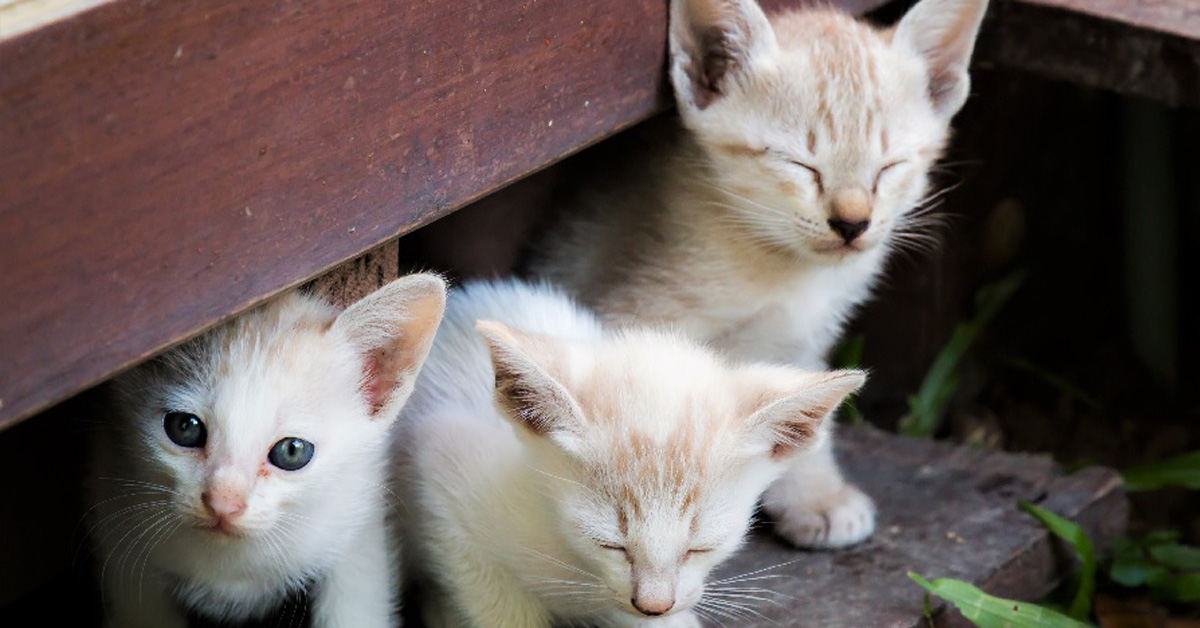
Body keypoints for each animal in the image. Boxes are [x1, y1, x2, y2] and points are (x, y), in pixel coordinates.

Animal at [530, 0, 988, 547]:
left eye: (889, 168)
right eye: (800, 164)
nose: (852, 223)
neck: (787, 269)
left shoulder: (803, 342)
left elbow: (805, 415)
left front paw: (814, 495)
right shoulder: (633, 317)